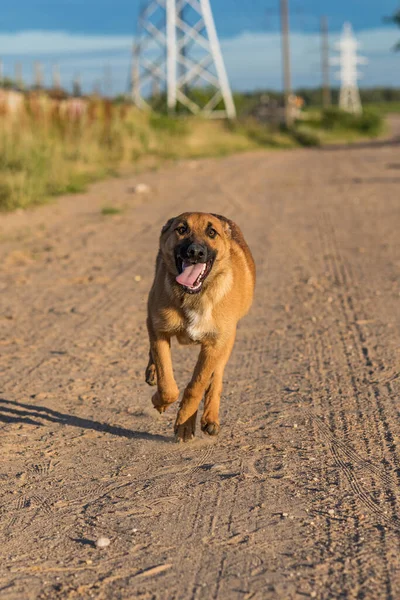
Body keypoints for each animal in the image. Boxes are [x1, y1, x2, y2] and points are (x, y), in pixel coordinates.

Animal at [145, 211, 255, 440]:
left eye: (211, 232)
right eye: (181, 229)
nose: (195, 252)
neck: (194, 295)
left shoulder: (214, 346)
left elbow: (197, 385)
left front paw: (184, 423)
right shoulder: (159, 330)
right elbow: (168, 385)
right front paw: (159, 401)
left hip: (226, 343)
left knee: (216, 376)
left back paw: (210, 419)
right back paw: (152, 372)